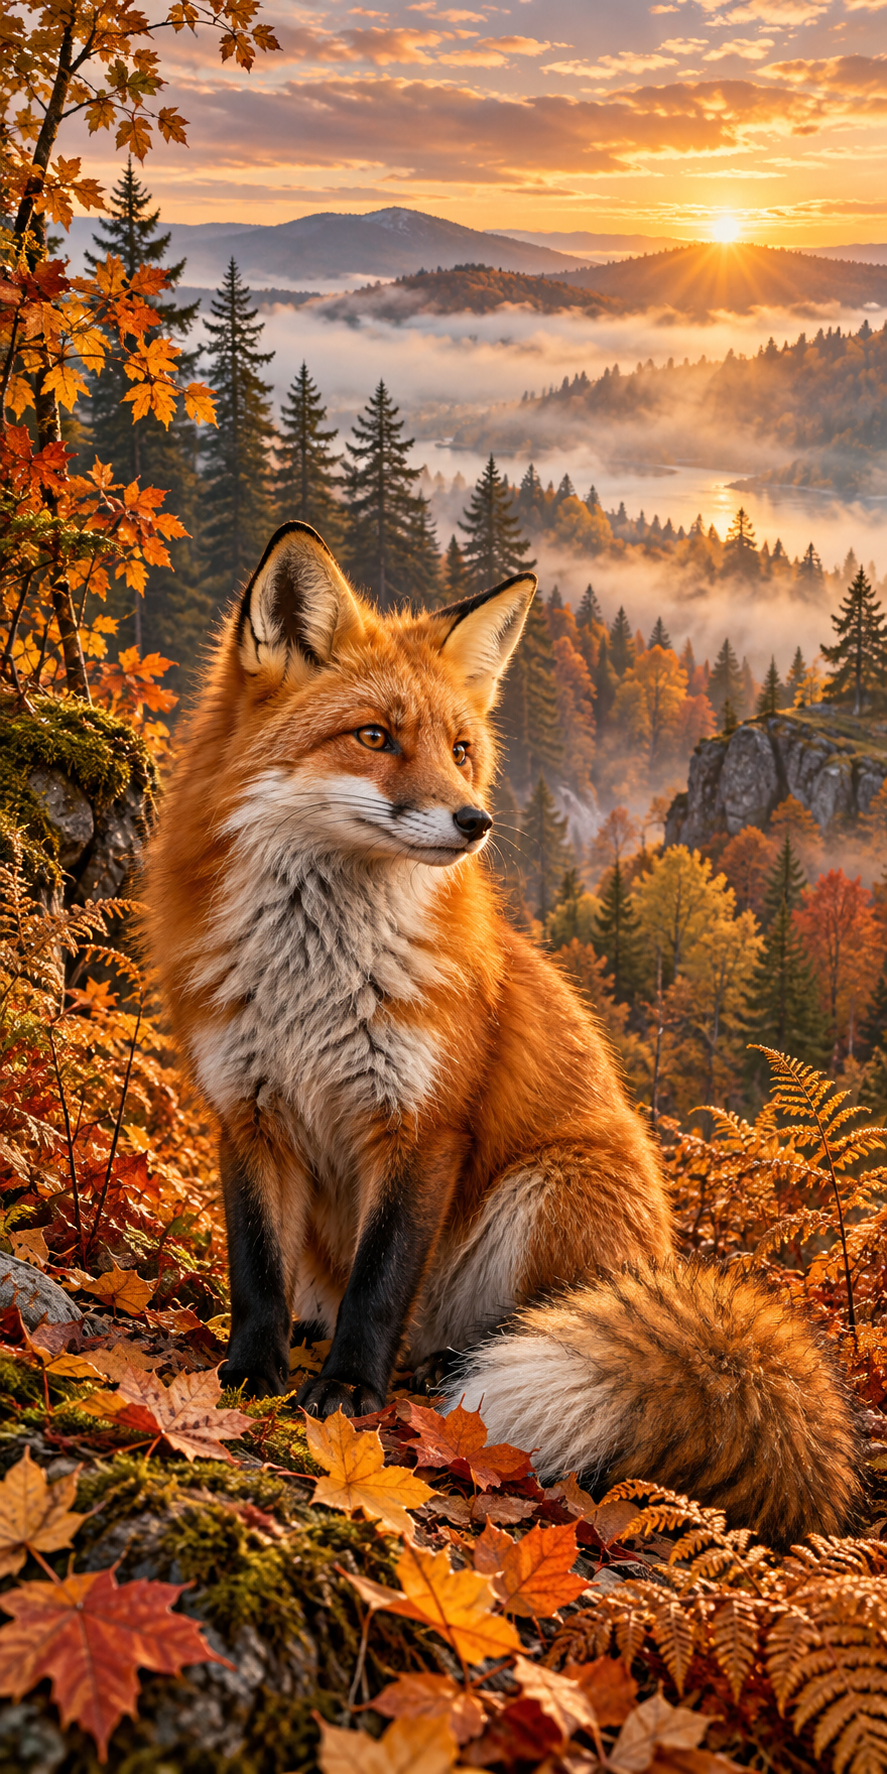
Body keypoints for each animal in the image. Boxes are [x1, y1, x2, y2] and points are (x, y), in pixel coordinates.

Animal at [146, 520, 860, 1549]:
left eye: (459, 749)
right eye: (374, 737)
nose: (474, 820)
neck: (312, 974)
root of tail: (657, 1257)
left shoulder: (423, 1124)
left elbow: (379, 1282)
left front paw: (348, 1393)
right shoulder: (245, 1108)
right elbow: (254, 1268)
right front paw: (251, 1372)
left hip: (548, 1192)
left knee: (500, 1330)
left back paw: (447, 1373)